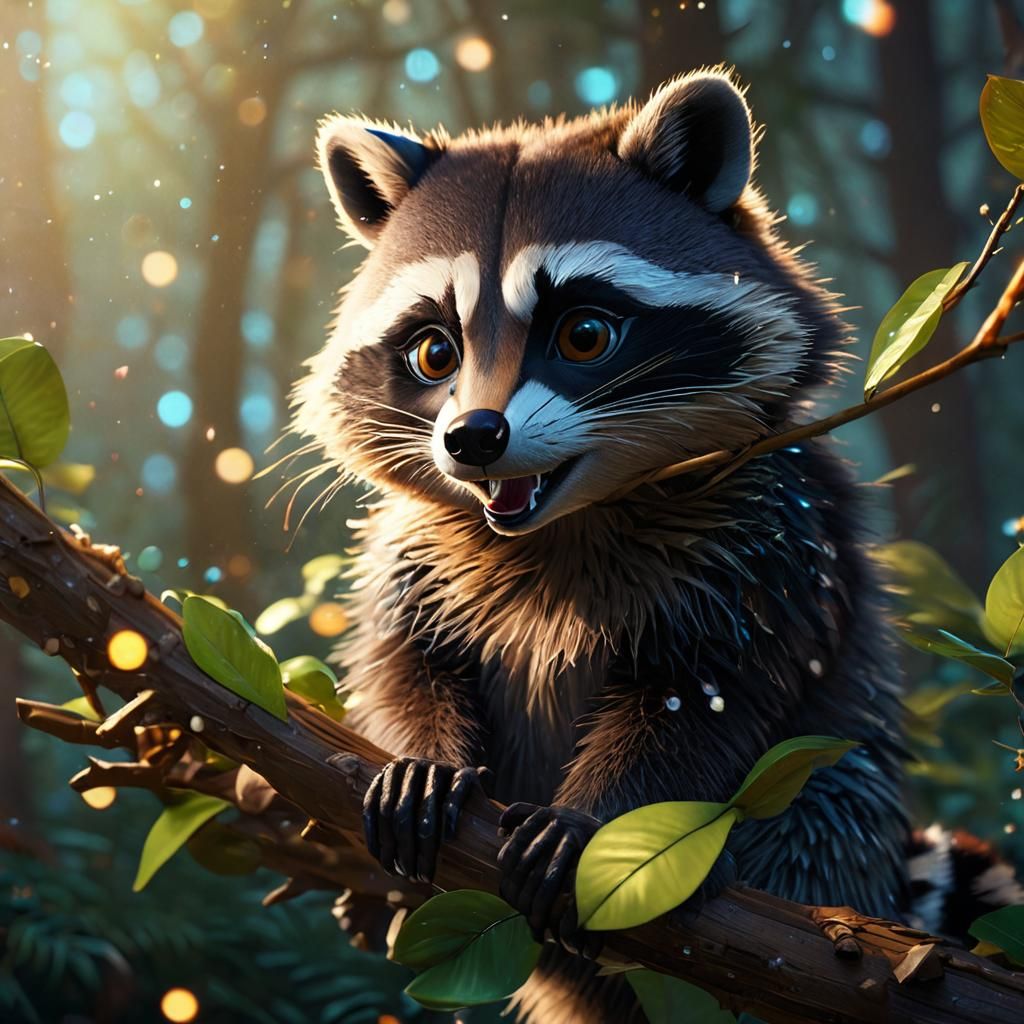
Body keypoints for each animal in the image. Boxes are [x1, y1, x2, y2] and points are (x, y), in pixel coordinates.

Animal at [293, 70, 973, 1022]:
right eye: (434, 352)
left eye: (584, 334)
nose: (473, 438)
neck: (562, 520)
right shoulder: (412, 549)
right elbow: (403, 659)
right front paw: (418, 753)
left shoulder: (774, 533)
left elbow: (708, 702)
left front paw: (600, 820)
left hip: (828, 835)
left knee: (822, 806)